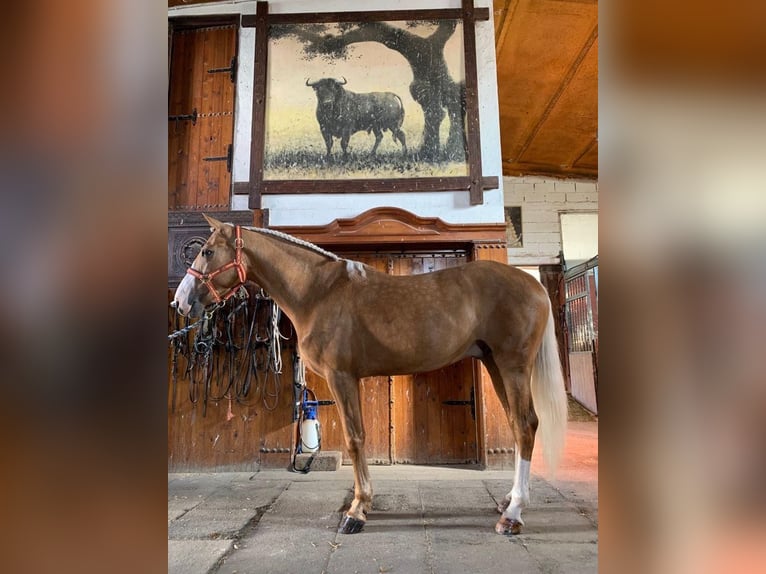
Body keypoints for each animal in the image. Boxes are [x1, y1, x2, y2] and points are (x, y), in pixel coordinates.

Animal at [173, 214, 568, 536]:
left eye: (207, 251)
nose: (181, 301)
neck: (318, 293)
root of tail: (533, 285)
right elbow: (357, 436)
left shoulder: (342, 378)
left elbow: (355, 438)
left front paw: (357, 511)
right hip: (495, 365)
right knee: (519, 425)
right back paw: (509, 501)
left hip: (513, 366)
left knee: (525, 426)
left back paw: (512, 515)